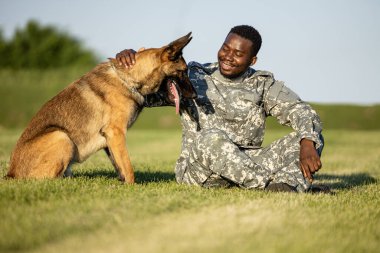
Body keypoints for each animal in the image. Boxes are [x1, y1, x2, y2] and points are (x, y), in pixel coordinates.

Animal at [6, 32, 196, 183]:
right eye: (183, 71)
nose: (195, 95)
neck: (128, 79)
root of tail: (10, 173)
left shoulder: (110, 139)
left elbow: (120, 165)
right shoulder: (116, 132)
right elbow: (128, 167)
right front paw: (131, 188)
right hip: (61, 136)